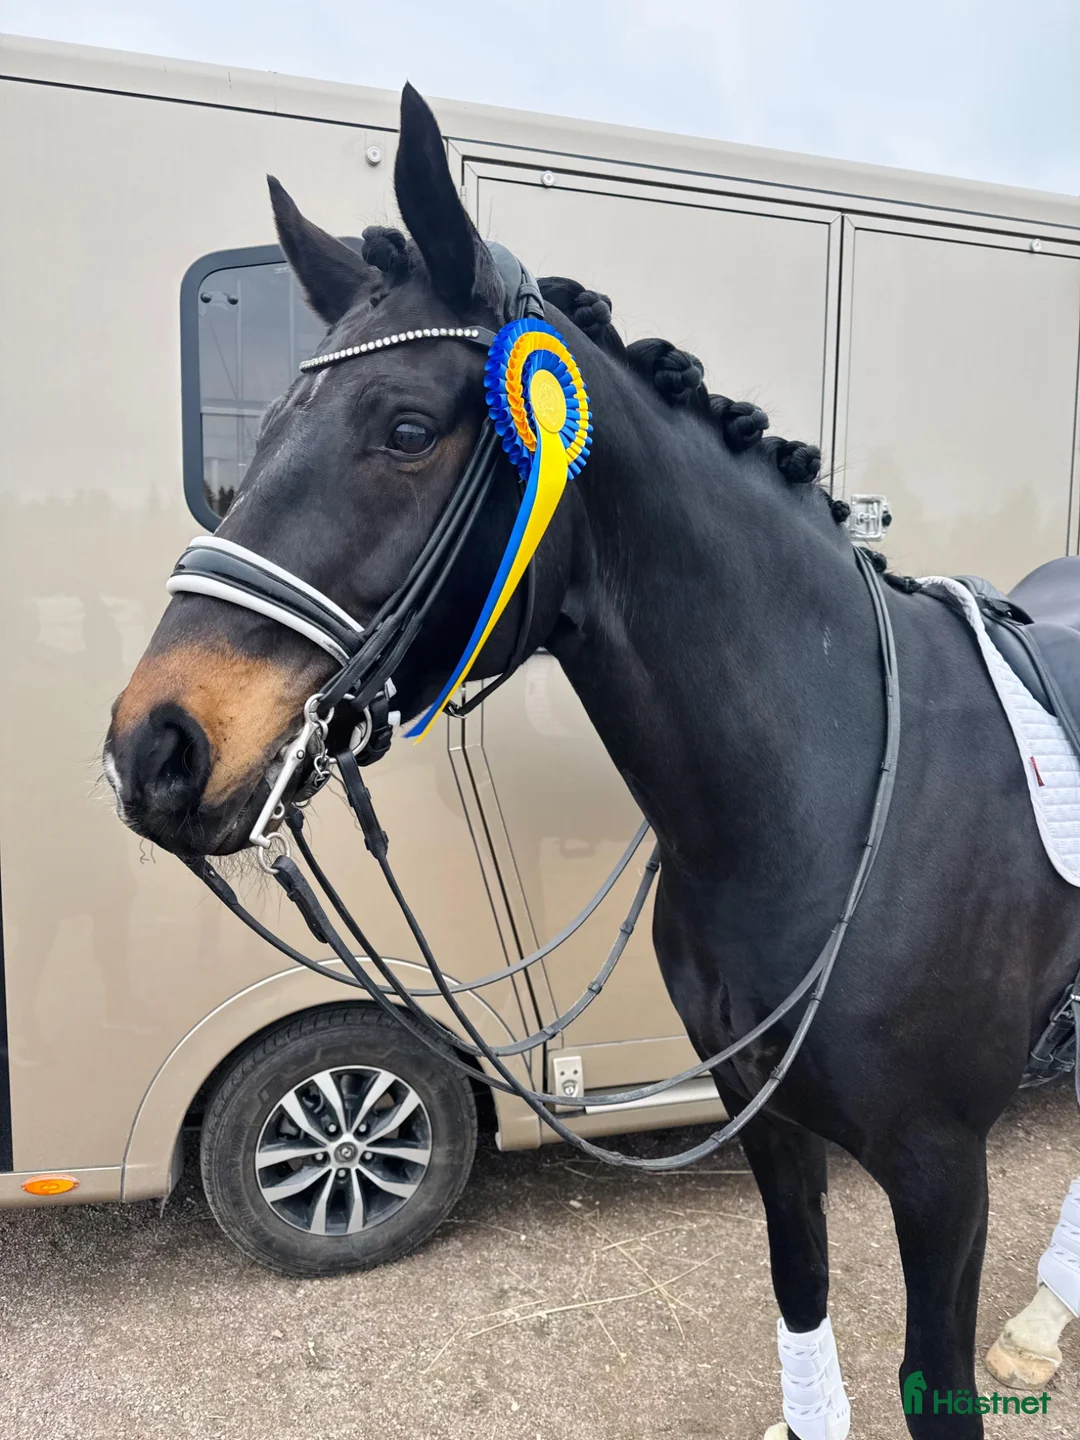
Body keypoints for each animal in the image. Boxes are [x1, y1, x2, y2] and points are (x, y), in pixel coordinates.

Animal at [104, 83, 1080, 1438]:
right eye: (268, 427)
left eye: (406, 428)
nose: (157, 745)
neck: (828, 805)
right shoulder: (770, 1126)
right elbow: (801, 1302)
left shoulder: (942, 1175)